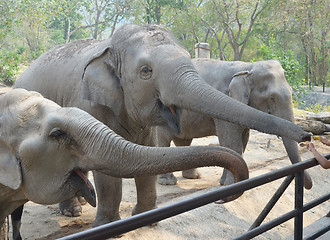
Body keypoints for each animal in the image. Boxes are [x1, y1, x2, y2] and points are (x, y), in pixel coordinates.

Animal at [157, 57, 312, 188]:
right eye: (271, 98)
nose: (307, 136)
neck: (247, 67)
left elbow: (243, 141)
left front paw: (231, 183)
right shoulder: (223, 103)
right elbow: (231, 142)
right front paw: (231, 184)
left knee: (183, 141)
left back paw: (193, 177)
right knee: (164, 139)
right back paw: (168, 182)